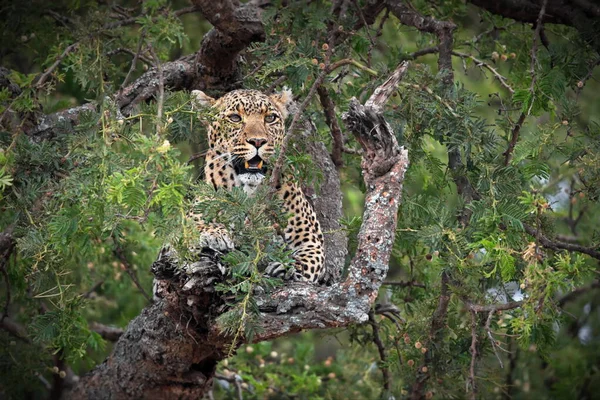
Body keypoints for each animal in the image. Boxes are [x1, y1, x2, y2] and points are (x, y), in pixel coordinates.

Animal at [190, 89, 326, 282]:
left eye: (270, 118)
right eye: (235, 118)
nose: (258, 141)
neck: (249, 190)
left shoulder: (311, 238)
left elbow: (310, 257)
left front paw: (289, 267)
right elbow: (190, 226)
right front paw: (215, 233)